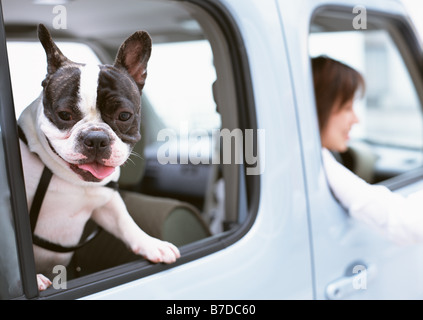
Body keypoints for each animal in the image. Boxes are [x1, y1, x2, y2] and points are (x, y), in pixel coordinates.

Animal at [18, 23, 181, 292]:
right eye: (64, 115)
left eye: (124, 116)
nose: (96, 138)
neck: (71, 180)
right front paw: (33, 278)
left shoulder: (107, 202)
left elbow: (125, 222)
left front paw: (150, 243)